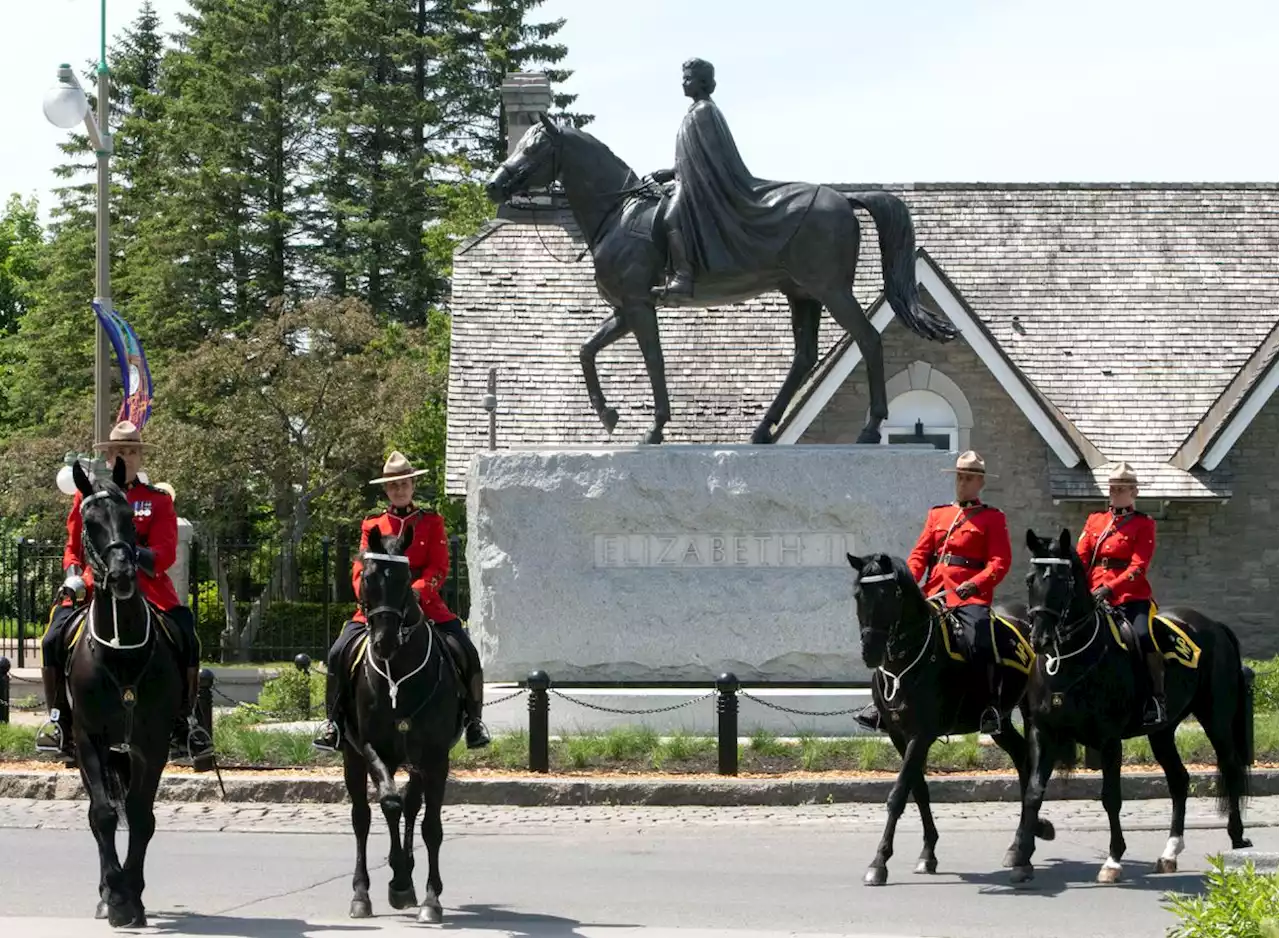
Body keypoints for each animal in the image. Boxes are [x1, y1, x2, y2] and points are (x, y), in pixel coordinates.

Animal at [66, 458, 185, 926]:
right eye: (89, 522)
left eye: (131, 521)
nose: (120, 575)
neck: (121, 653)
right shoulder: (89, 739)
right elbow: (101, 814)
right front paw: (114, 896)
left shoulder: (151, 743)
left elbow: (139, 814)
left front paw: (132, 895)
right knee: (99, 811)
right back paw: (105, 892)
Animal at [335, 522, 465, 926]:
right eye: (367, 576)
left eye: (406, 578)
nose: (384, 642)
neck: (399, 676)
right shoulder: (371, 748)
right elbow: (389, 804)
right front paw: (398, 881)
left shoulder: (436, 757)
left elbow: (430, 825)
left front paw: (429, 898)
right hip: (353, 757)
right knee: (362, 817)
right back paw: (363, 892)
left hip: (417, 761)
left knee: (411, 806)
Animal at [483, 116, 957, 445]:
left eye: (535, 149)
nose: (493, 185)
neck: (618, 213)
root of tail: (844, 198)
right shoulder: (624, 309)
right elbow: (586, 350)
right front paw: (608, 415)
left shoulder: (639, 306)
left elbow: (653, 361)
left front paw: (654, 429)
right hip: (802, 294)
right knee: (804, 356)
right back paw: (762, 431)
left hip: (831, 291)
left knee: (867, 339)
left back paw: (869, 429)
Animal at [844, 552, 1054, 880]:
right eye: (858, 595)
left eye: (889, 594)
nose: (870, 653)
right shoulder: (899, 735)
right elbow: (919, 790)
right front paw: (927, 853)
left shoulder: (922, 734)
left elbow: (898, 794)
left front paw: (879, 862)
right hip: (1001, 722)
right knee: (1022, 758)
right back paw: (1021, 843)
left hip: (1031, 712)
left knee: (1031, 763)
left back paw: (1026, 847)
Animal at [1008, 529, 1249, 880]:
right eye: (1030, 579)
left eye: (1064, 581)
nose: (1040, 638)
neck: (1070, 659)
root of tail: (1215, 625)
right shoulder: (1043, 731)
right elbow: (1033, 791)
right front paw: (1021, 858)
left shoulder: (1109, 740)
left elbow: (1111, 797)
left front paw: (1113, 859)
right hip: (1162, 731)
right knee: (1179, 780)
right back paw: (1170, 852)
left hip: (1215, 717)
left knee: (1230, 766)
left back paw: (1237, 837)